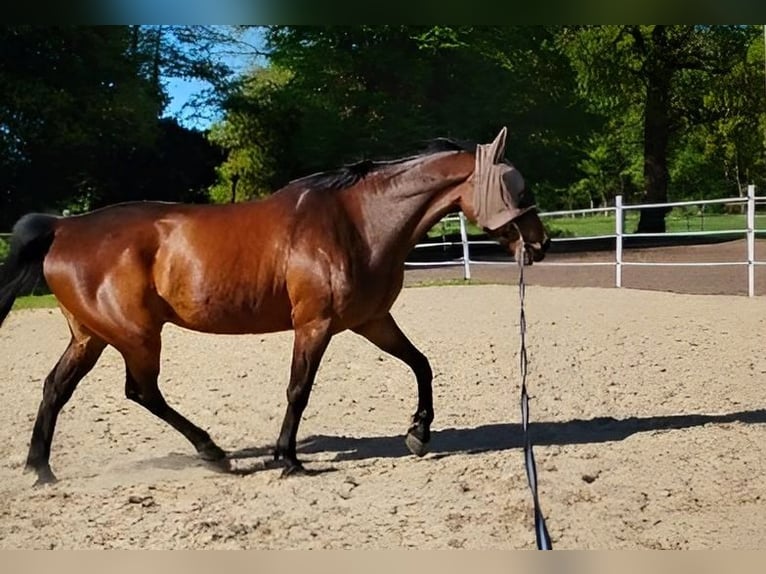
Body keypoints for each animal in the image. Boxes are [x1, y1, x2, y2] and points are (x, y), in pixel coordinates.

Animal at [0, 127, 549, 485]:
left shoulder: (372, 320)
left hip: (90, 336)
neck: (356, 223)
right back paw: (214, 453)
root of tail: (64, 227)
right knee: (141, 391)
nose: (540, 245)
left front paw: (418, 434)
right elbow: (298, 390)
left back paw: (41, 469)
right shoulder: (315, 325)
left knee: (57, 388)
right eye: (518, 186)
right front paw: (288, 459)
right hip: (135, 337)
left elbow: (421, 364)